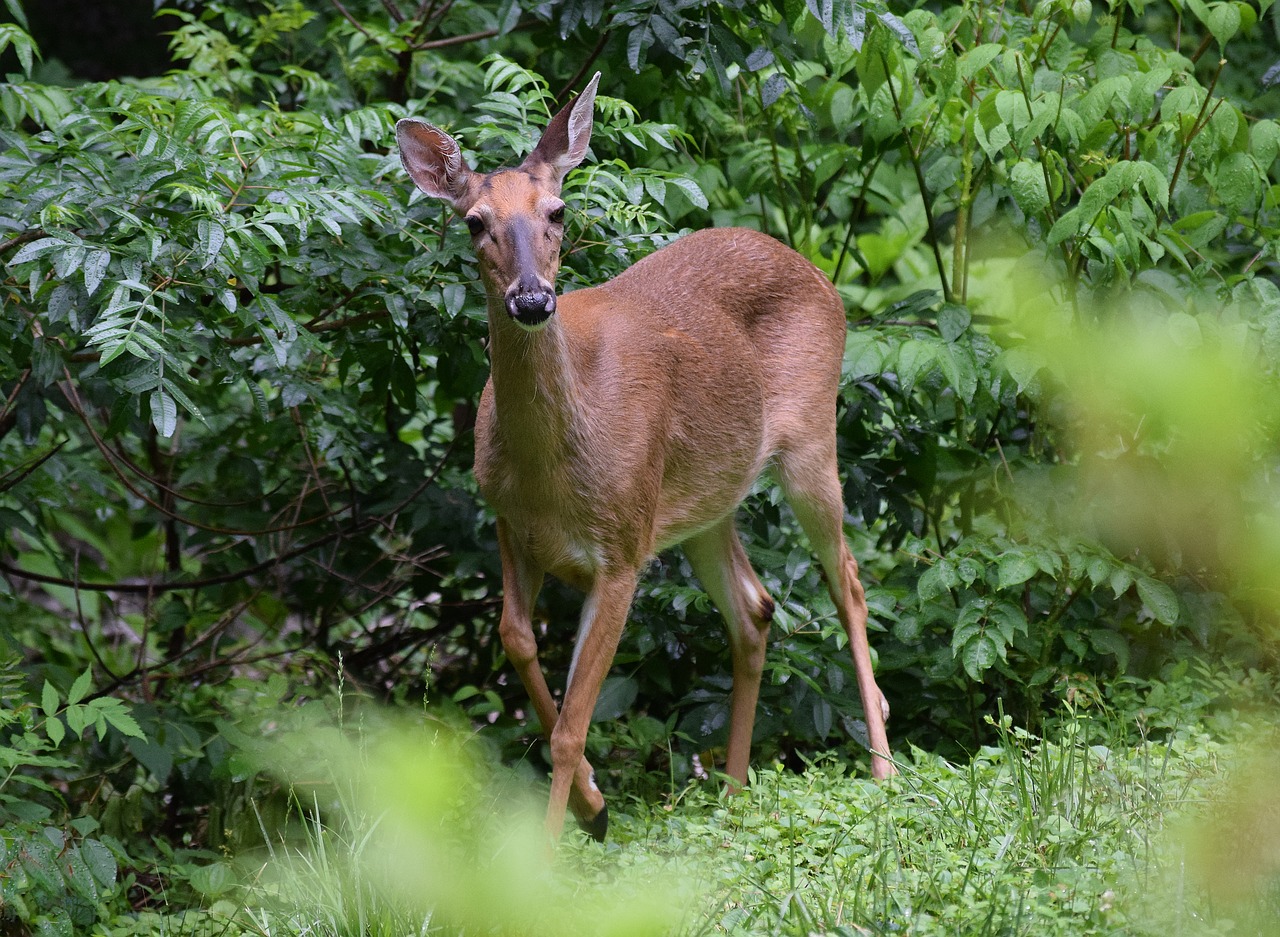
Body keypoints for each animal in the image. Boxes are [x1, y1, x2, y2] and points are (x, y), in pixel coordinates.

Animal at [394, 69, 896, 839]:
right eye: (474, 221)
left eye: (558, 210)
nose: (532, 299)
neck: (552, 471)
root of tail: (815, 272)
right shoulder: (511, 524)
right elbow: (516, 640)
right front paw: (594, 805)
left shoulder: (625, 550)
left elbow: (571, 725)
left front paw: (558, 843)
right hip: (702, 502)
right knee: (755, 607)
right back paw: (733, 790)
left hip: (812, 437)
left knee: (849, 579)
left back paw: (883, 769)